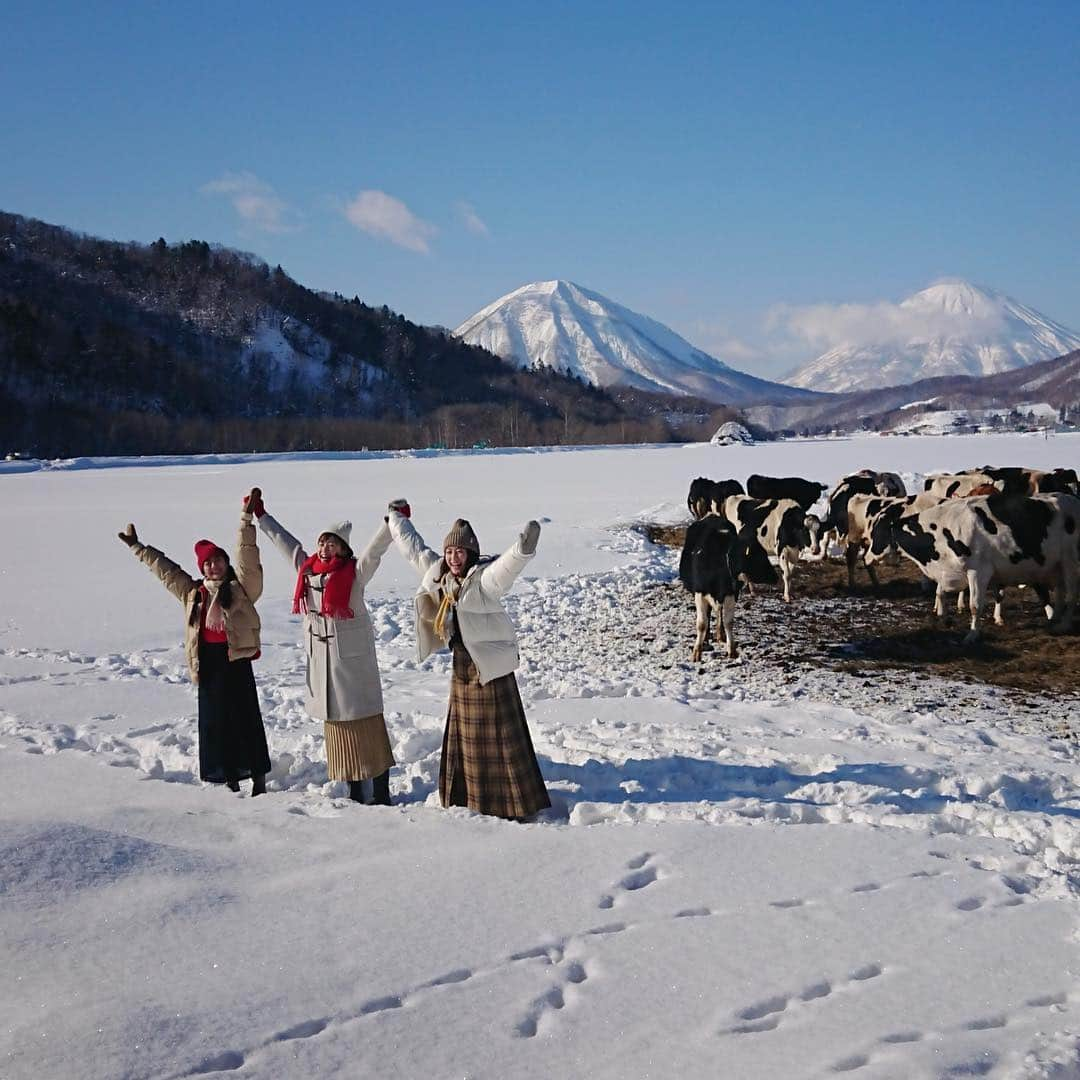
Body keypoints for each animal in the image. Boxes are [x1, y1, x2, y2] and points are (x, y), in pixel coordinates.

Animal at [678, 511, 781, 656]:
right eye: (759, 557)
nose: (776, 577)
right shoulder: (699, 592)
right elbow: (702, 624)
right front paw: (697, 652)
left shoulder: (731, 593)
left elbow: (728, 622)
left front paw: (731, 649)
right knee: (709, 614)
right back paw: (707, 638)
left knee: (719, 613)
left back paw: (720, 635)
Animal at [864, 492, 1080, 639]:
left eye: (877, 532)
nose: (866, 557)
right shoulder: (950, 572)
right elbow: (940, 593)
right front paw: (943, 617)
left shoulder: (978, 571)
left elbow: (975, 605)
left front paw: (972, 635)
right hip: (1056, 565)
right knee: (1060, 592)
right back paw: (1055, 619)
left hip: (1071, 561)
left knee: (1071, 594)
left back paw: (1064, 625)